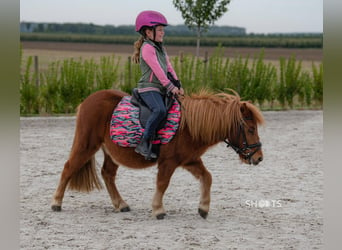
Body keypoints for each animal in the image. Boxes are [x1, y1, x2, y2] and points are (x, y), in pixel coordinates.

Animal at [50, 89, 264, 220]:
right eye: (251, 129)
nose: (259, 157)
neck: (188, 126)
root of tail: (88, 100)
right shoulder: (168, 162)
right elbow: (162, 183)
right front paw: (158, 209)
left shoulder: (190, 160)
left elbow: (207, 177)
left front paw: (203, 208)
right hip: (86, 145)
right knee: (68, 168)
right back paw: (56, 203)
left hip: (112, 152)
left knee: (108, 174)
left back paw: (121, 204)